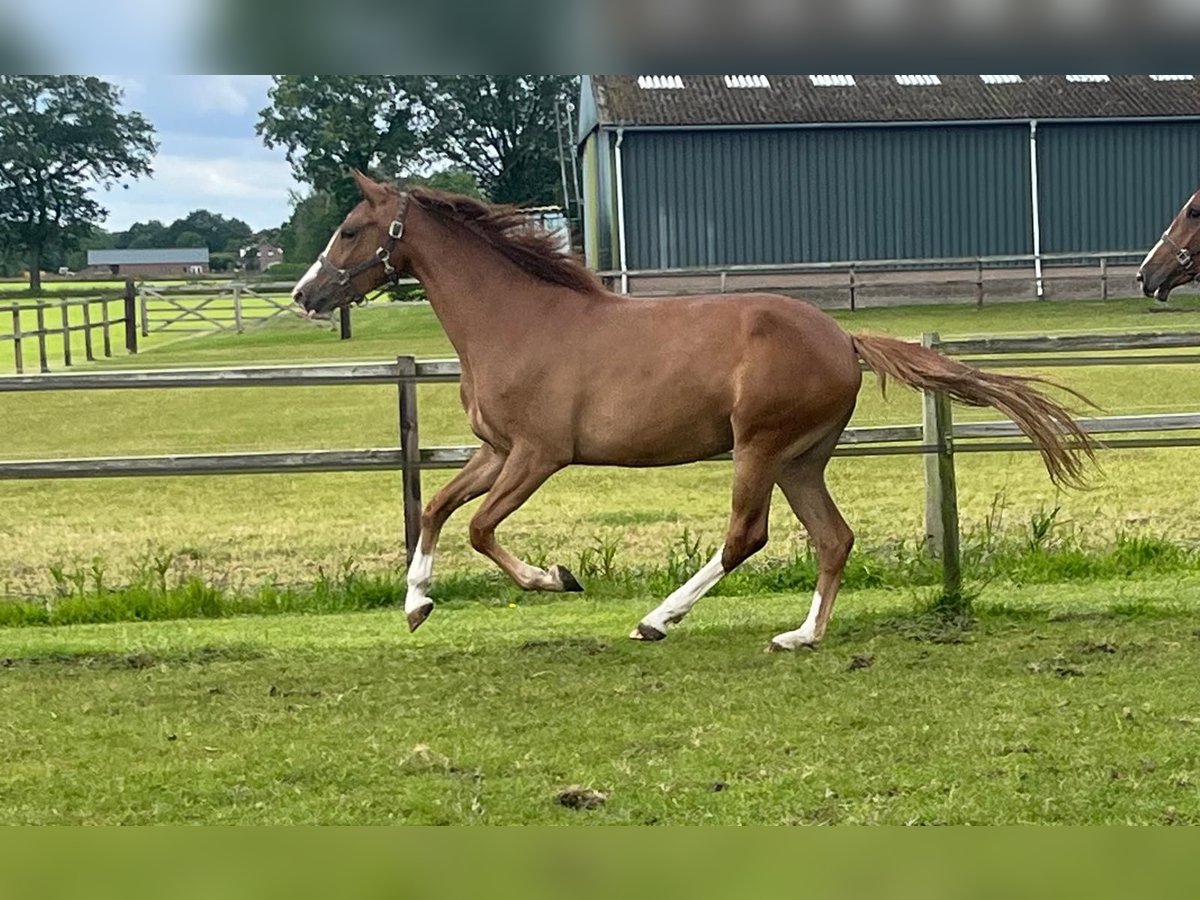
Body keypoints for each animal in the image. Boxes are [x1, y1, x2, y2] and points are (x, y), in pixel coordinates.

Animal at [292, 169, 1099, 652]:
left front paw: (556, 578)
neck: (516, 320)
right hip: (801, 459)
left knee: (747, 536)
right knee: (832, 538)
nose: (305, 294)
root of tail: (844, 337)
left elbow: (482, 528)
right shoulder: (496, 450)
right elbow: (435, 509)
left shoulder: (538, 455)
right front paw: (415, 603)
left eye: (351, 229)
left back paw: (657, 619)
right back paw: (801, 636)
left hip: (759, 448)